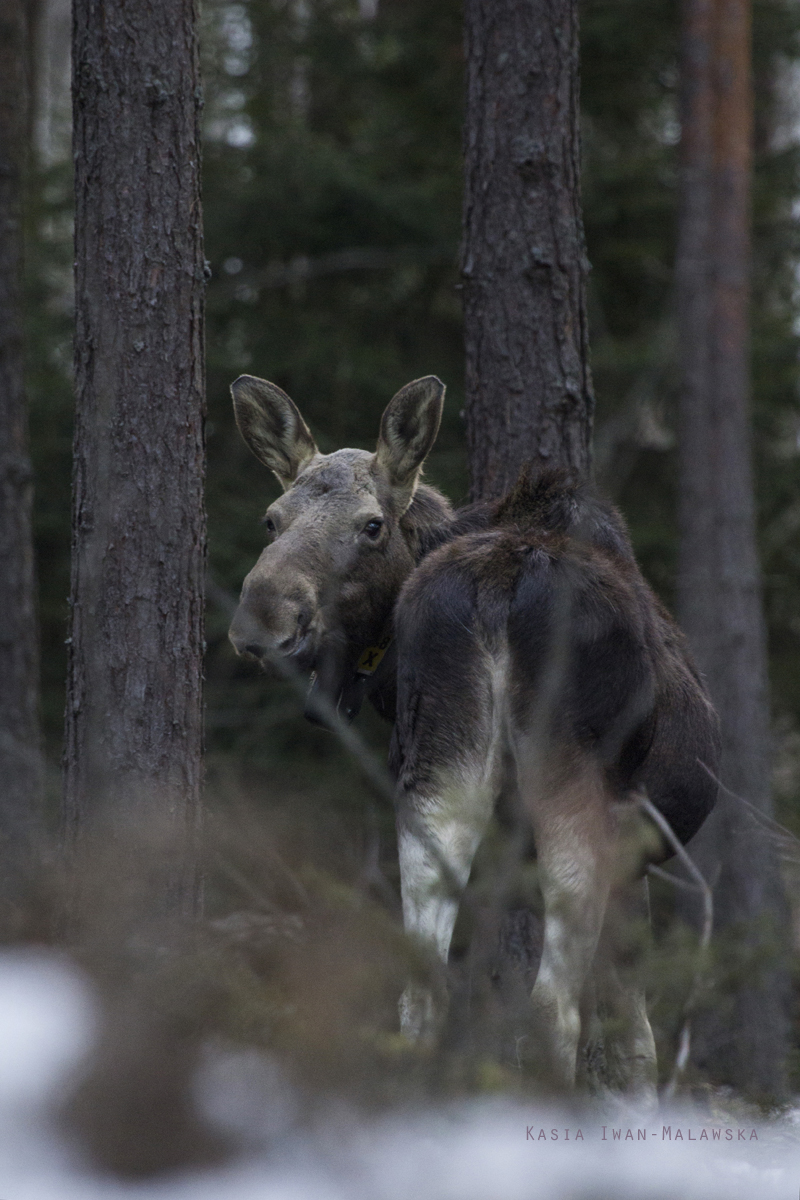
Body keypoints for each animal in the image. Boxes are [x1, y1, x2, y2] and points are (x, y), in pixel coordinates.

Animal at [226, 372, 719, 1099]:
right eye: (272, 519)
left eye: (371, 525)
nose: (262, 617)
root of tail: (497, 588)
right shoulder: (636, 847)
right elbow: (634, 1034)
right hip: (572, 779)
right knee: (552, 1003)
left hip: (440, 773)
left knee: (425, 987)